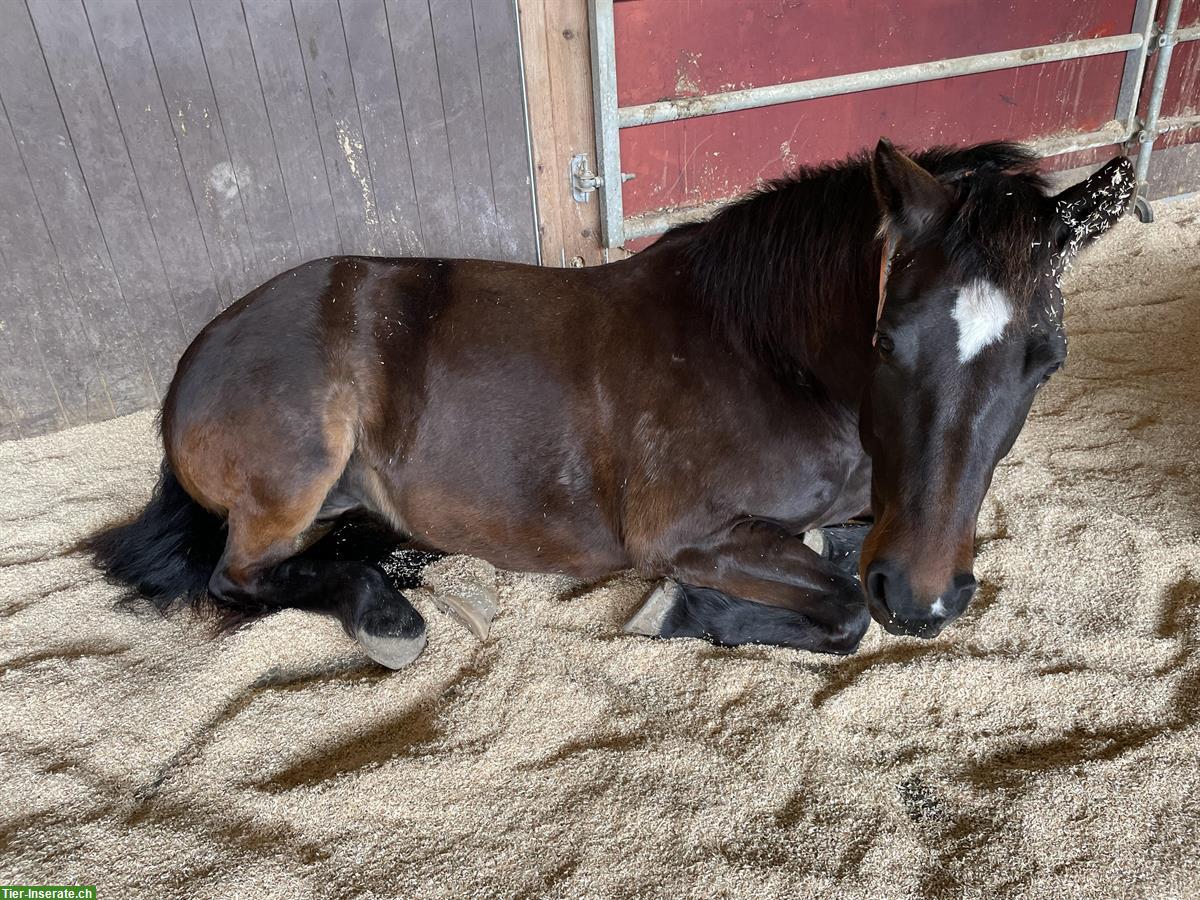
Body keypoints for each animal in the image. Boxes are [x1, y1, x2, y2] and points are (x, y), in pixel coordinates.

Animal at [84, 137, 1132, 667]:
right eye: (886, 341)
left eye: (1046, 363)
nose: (923, 600)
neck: (762, 349)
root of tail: (200, 353)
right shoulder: (687, 532)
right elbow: (840, 612)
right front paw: (679, 612)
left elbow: (845, 569)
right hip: (299, 469)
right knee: (238, 576)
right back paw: (385, 619)